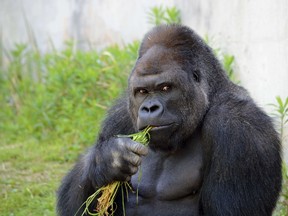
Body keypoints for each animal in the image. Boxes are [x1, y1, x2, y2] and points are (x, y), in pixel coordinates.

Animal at [57, 24, 282, 215]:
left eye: (165, 88)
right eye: (142, 91)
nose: (149, 108)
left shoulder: (239, 130)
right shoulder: (120, 115)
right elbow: (77, 209)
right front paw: (107, 161)